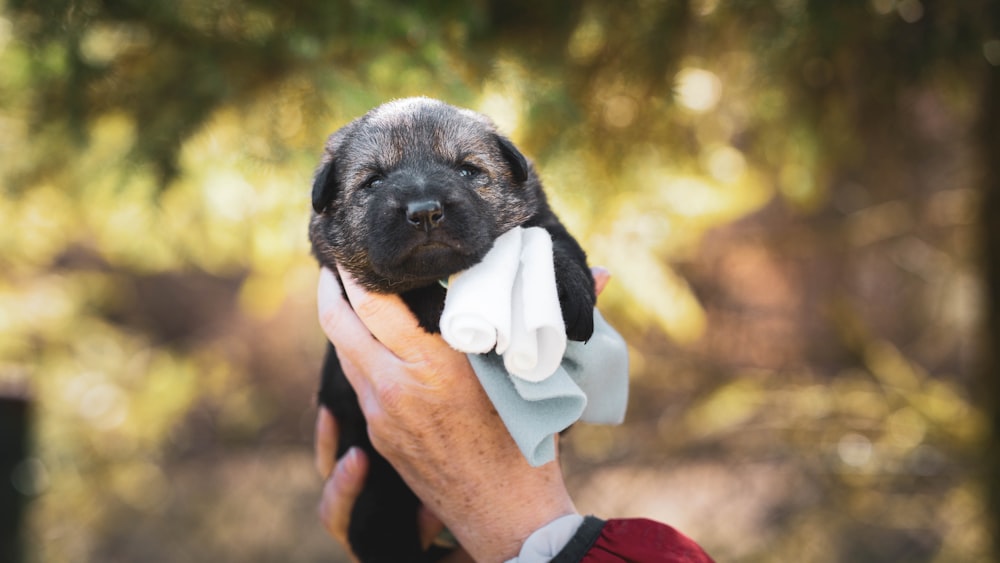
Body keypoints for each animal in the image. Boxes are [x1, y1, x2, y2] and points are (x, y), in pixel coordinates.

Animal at [308, 99, 596, 560]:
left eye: (467, 170)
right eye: (373, 181)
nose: (424, 211)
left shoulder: (540, 213)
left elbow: (549, 237)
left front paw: (567, 285)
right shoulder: (345, 278)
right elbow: (422, 291)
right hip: (374, 486)